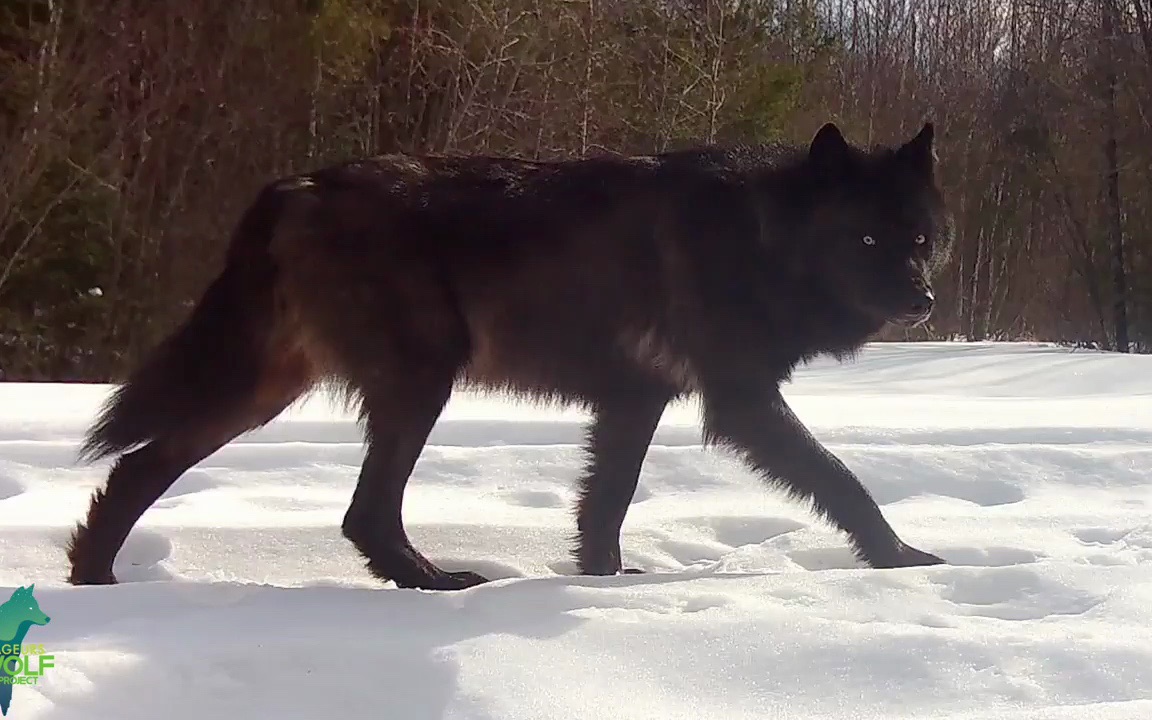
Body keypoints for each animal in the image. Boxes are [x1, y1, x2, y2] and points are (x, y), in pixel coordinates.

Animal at [69, 120, 953, 587]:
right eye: (865, 239)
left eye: (919, 239)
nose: (922, 301)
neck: (762, 241)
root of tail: (299, 184)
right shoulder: (740, 401)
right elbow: (841, 481)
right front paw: (902, 560)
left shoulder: (636, 400)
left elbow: (605, 504)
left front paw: (604, 583)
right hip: (420, 379)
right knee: (364, 512)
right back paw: (434, 583)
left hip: (266, 392)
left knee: (140, 468)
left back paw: (96, 581)